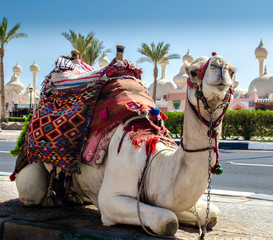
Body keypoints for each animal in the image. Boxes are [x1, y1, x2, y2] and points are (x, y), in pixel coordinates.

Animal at [14, 48, 234, 236]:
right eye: (194, 72)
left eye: (233, 72)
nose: (221, 66)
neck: (154, 161)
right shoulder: (111, 198)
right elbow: (167, 221)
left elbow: (211, 214)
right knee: (31, 192)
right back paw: (50, 199)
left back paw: (73, 198)